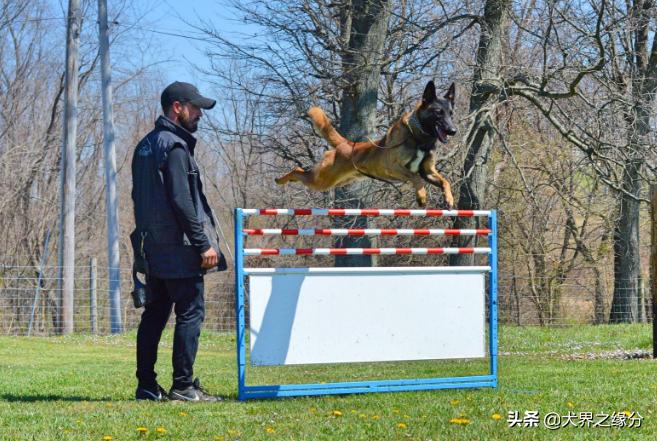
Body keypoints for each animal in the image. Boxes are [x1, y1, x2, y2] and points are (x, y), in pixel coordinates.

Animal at [274, 80, 454, 207]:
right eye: (438, 112)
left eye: (451, 113)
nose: (453, 131)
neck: (419, 137)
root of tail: (346, 144)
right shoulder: (393, 166)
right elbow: (415, 177)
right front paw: (421, 196)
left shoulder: (428, 172)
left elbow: (445, 181)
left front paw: (449, 198)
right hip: (321, 180)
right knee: (297, 170)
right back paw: (280, 179)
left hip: (336, 181)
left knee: (301, 173)